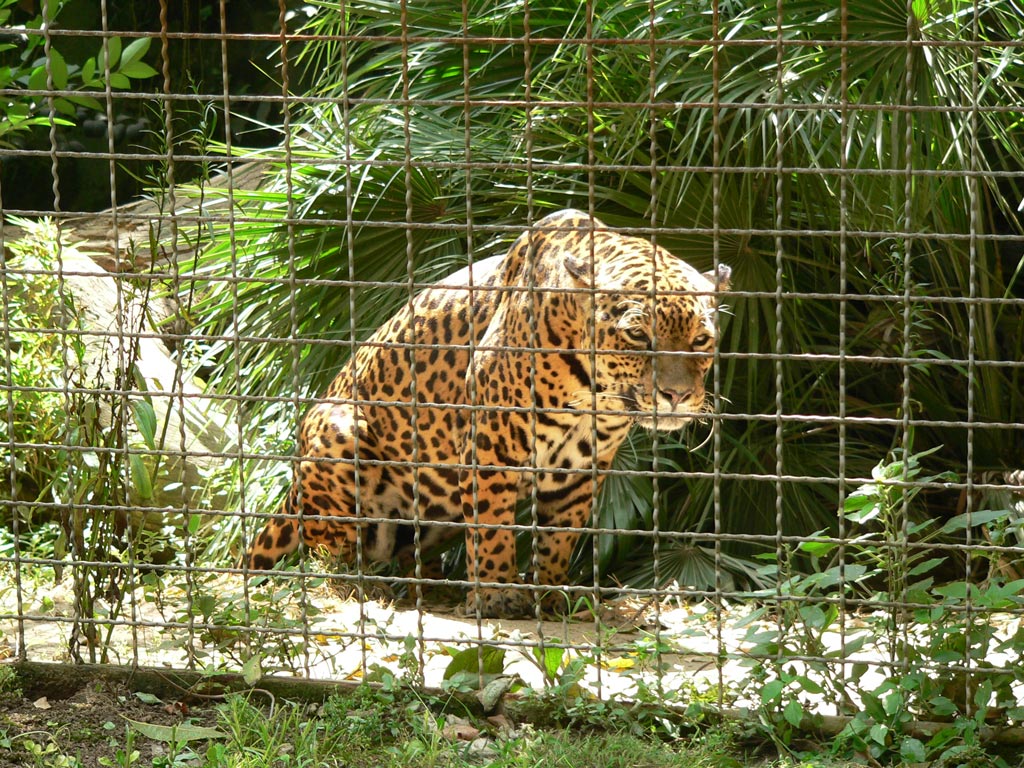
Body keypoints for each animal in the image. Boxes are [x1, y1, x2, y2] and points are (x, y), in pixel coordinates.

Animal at [246, 209, 731, 618]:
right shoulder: (491, 445)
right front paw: (498, 595)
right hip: (340, 432)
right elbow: (492, 526)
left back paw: (431, 585)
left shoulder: (581, 469)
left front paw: (551, 594)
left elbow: (559, 537)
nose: (676, 394)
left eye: (701, 340)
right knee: (328, 554)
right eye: (637, 335)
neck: (595, 394)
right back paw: (361, 585)